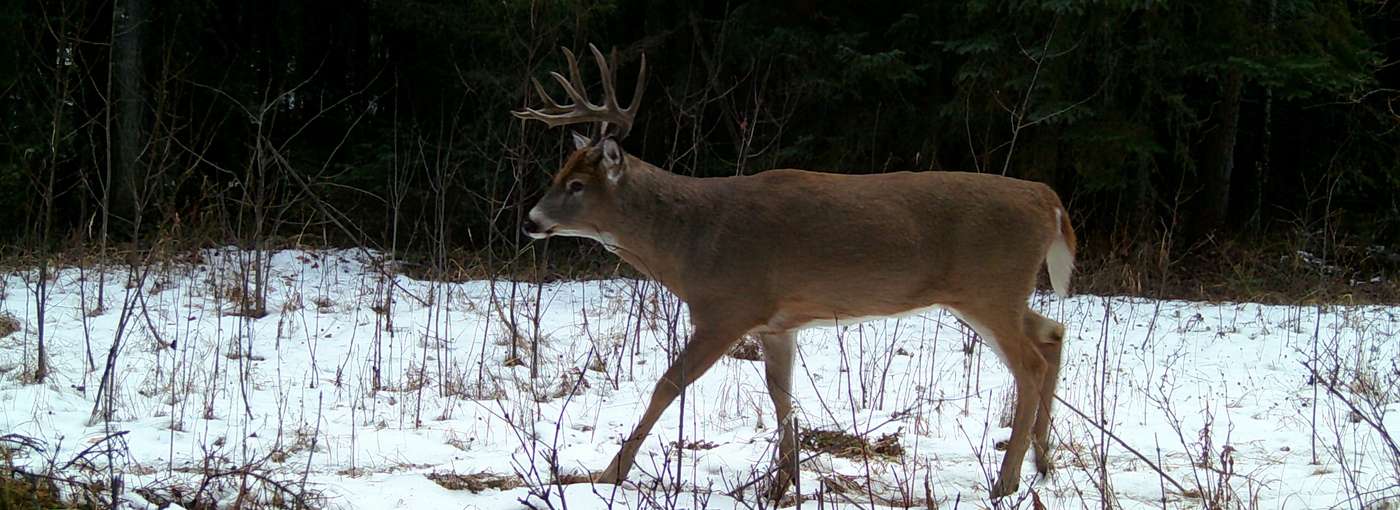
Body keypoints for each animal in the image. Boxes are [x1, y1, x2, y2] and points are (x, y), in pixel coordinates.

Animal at [520, 42, 1075, 498]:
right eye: (558, 174)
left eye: (576, 185)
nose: (531, 221)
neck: (689, 242)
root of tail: (1047, 200)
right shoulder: (776, 323)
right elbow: (781, 396)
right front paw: (785, 480)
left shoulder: (727, 309)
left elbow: (668, 385)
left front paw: (605, 474)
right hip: (997, 293)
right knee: (1053, 332)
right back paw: (1043, 463)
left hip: (990, 288)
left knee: (1030, 363)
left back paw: (1006, 481)